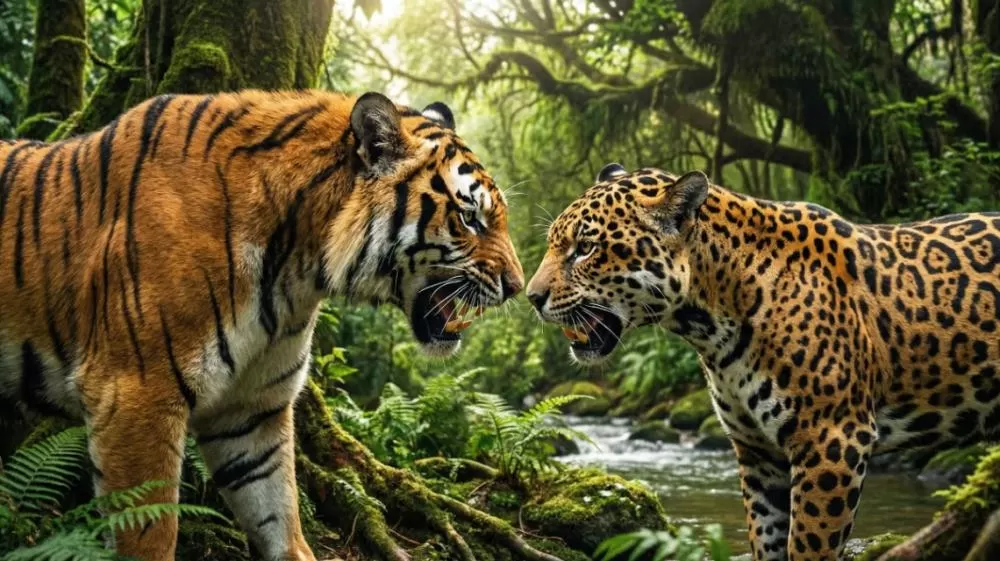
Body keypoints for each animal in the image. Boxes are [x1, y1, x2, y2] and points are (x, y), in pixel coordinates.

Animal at [0, 89, 523, 561]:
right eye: (469, 218)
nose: (517, 287)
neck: (295, 268)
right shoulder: (135, 396)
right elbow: (149, 535)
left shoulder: (251, 410)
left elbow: (279, 515)